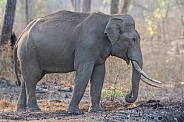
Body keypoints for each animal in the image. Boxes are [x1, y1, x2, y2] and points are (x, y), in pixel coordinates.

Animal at [14, 10, 161, 114]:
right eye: (134, 39)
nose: (128, 95)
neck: (110, 17)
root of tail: (22, 32)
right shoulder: (86, 45)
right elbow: (84, 71)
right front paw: (74, 112)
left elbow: (99, 74)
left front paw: (97, 111)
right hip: (29, 51)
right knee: (33, 78)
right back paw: (35, 110)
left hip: (27, 54)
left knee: (26, 79)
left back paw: (21, 110)